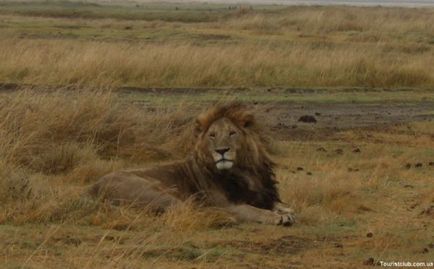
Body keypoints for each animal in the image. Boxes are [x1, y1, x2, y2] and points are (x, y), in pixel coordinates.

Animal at [90, 103, 296, 225]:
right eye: (212, 135)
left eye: (232, 133)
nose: (221, 151)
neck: (245, 171)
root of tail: (93, 188)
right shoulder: (227, 203)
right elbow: (253, 210)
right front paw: (278, 217)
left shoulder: (263, 194)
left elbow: (279, 204)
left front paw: (286, 210)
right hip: (159, 192)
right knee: (186, 210)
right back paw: (224, 218)